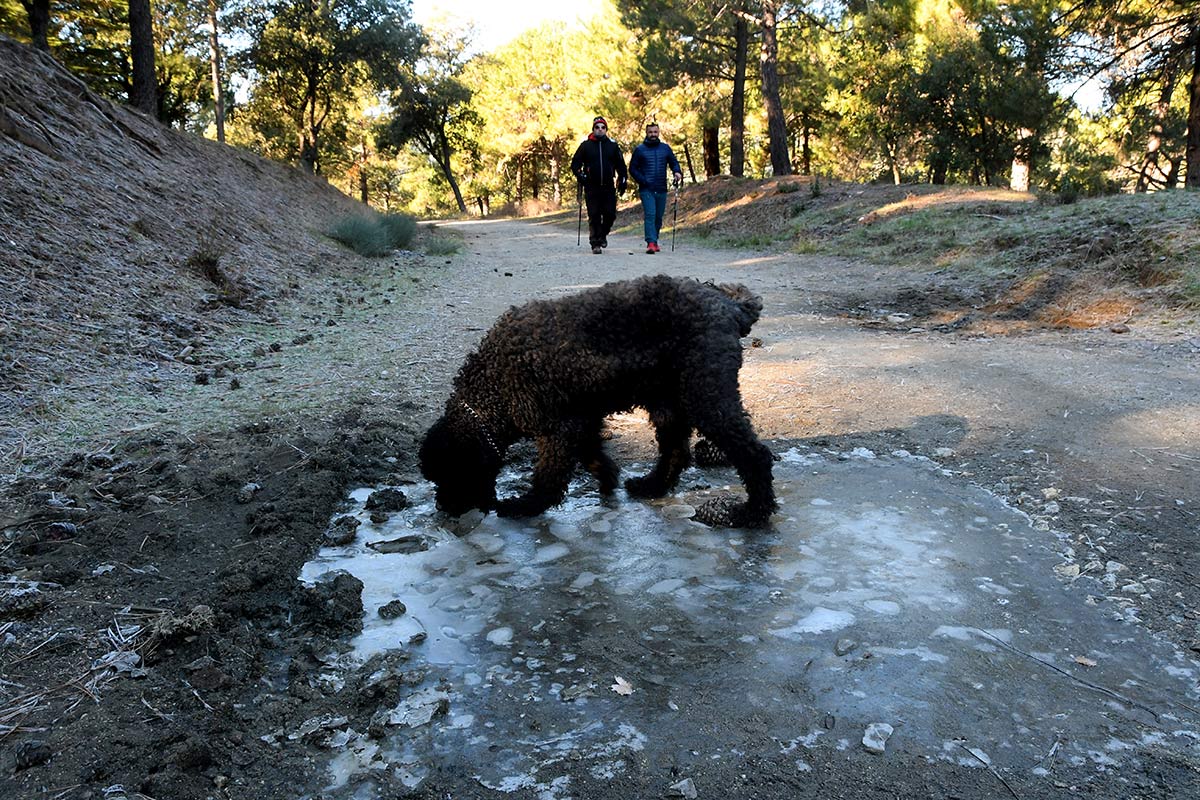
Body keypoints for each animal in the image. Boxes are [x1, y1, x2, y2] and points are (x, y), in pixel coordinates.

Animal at [422, 272, 777, 527]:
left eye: (451, 474)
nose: (446, 508)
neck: (493, 386)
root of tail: (729, 304)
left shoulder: (557, 429)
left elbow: (550, 477)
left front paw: (526, 505)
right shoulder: (581, 419)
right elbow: (592, 454)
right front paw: (608, 478)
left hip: (706, 396)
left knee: (754, 455)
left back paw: (752, 513)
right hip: (668, 402)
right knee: (675, 452)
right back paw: (652, 486)